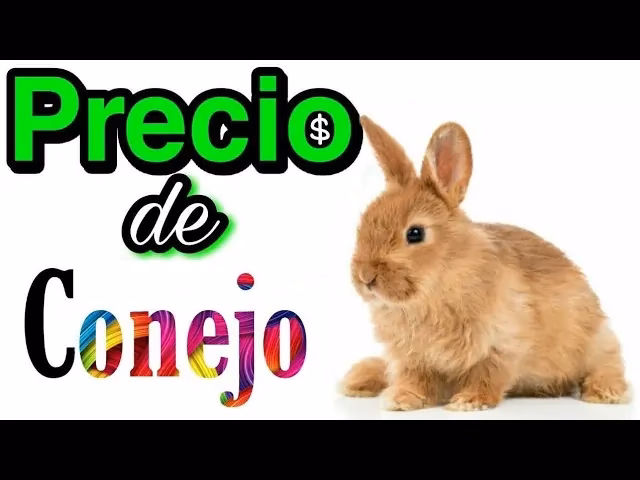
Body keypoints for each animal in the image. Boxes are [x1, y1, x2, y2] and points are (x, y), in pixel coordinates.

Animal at [340, 115, 630, 412]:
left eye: (415, 233)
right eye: (364, 222)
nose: (365, 276)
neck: (441, 279)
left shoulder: (502, 345)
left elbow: (488, 376)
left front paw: (469, 402)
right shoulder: (414, 358)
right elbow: (416, 380)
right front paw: (402, 399)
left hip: (597, 341)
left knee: (608, 364)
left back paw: (604, 393)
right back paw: (357, 380)